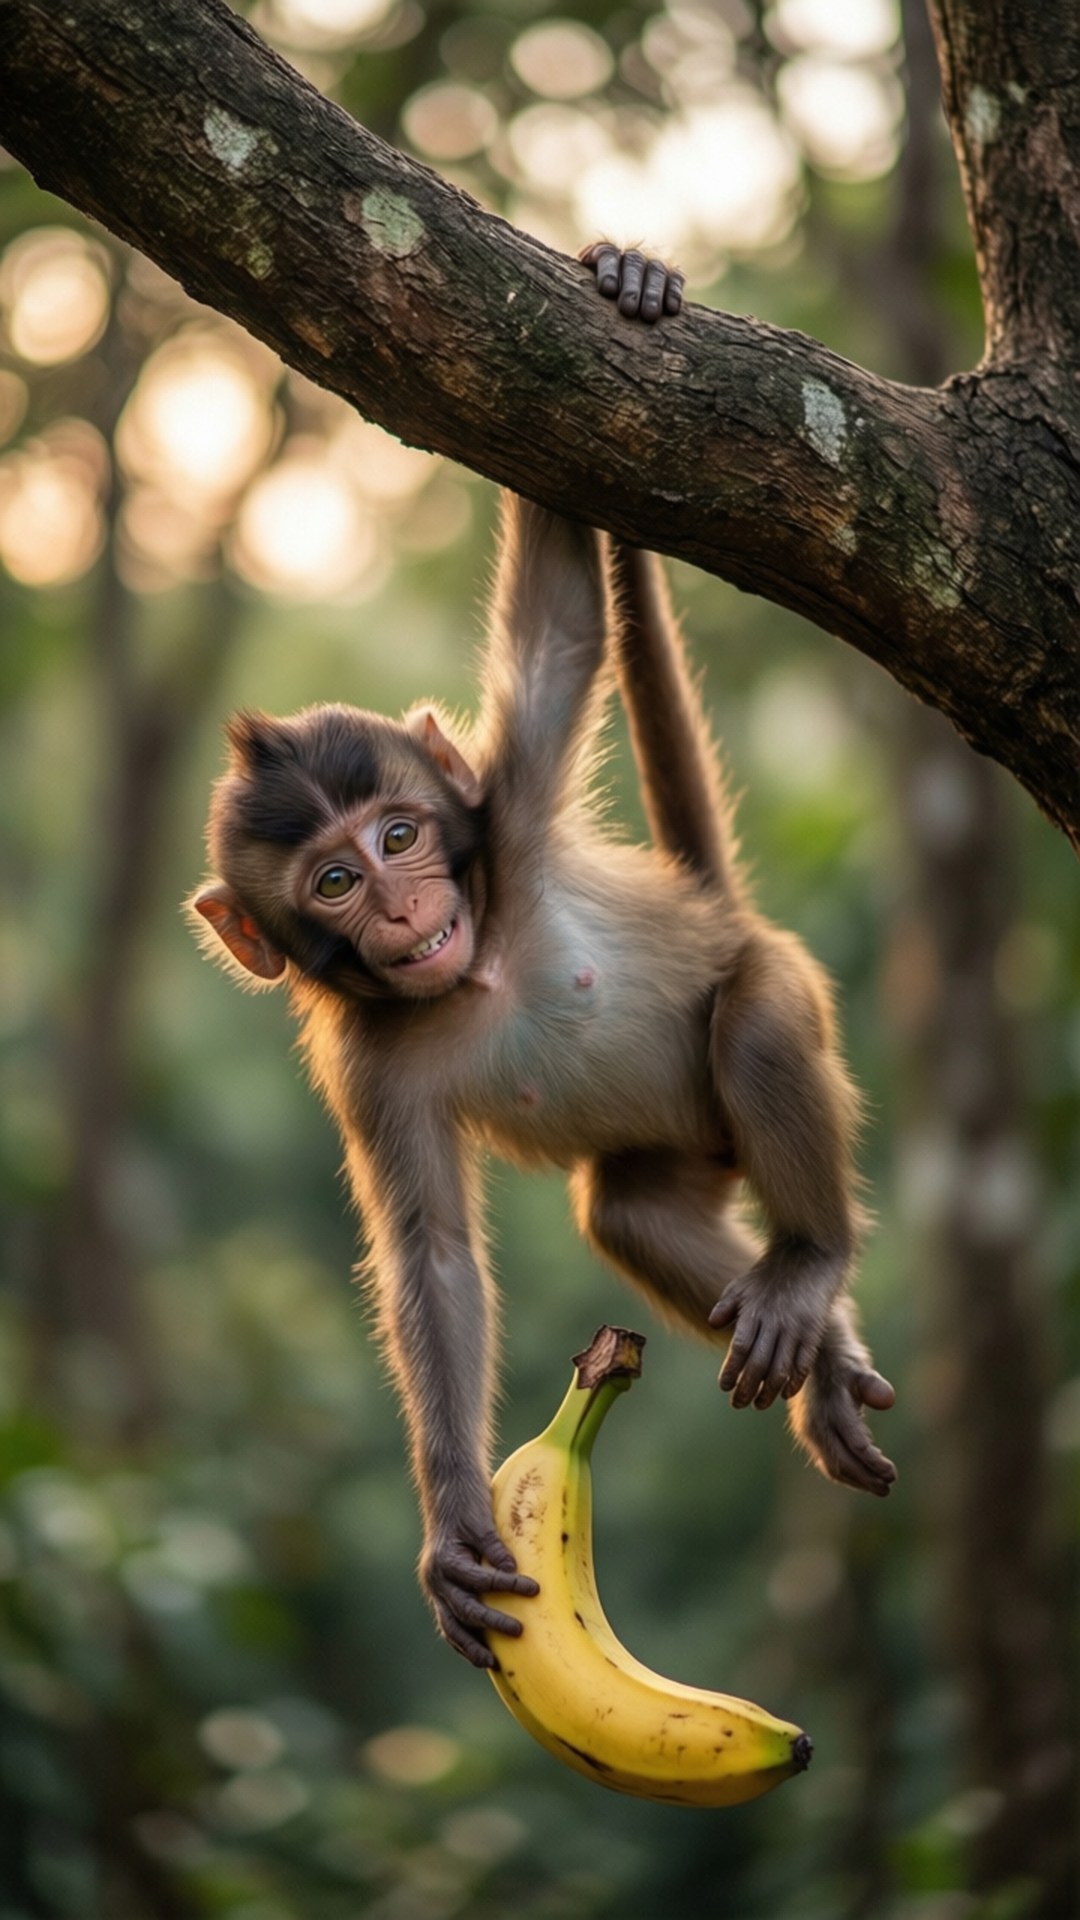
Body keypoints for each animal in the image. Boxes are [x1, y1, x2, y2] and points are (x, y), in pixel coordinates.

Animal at [190, 251, 895, 1668]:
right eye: (334, 882)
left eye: (402, 832)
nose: (405, 910)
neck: (476, 971)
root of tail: (718, 903)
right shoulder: (367, 1064)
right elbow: (431, 1255)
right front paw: (454, 1519)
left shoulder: (504, 818)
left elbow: (565, 630)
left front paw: (629, 278)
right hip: (681, 1153)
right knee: (626, 1210)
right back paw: (827, 1360)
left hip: (772, 975)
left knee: (753, 1024)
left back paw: (809, 1268)